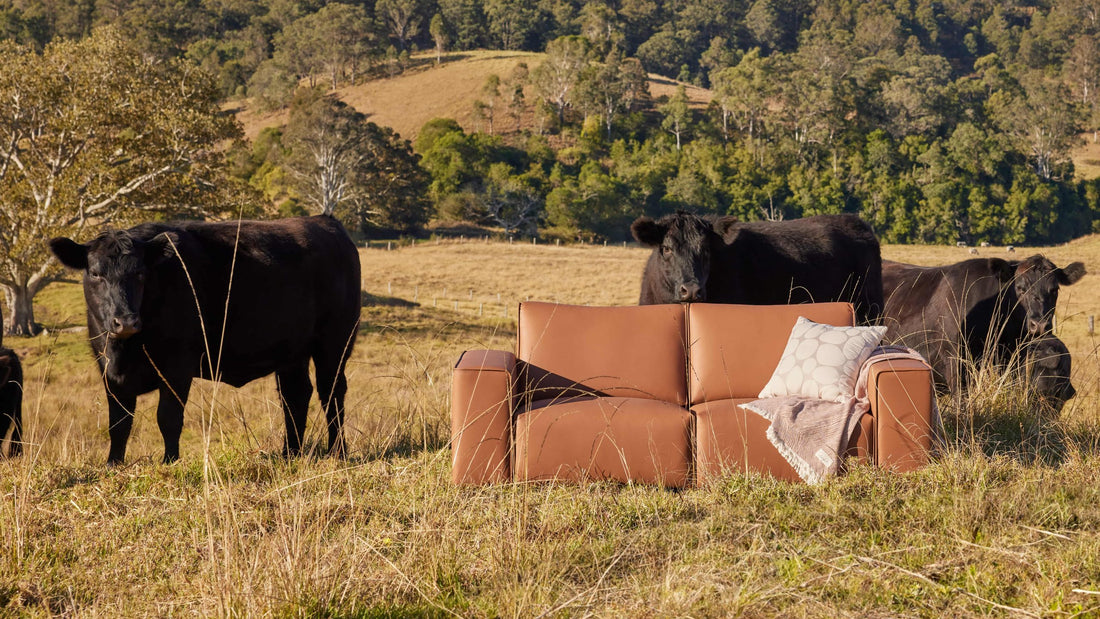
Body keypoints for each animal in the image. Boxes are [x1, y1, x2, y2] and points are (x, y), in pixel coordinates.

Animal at [49, 217, 358, 466]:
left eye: (140, 273)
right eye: (95, 273)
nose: (126, 322)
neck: (125, 350)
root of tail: (325, 220)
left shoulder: (177, 365)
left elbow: (168, 418)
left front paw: (170, 461)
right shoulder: (108, 370)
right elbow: (119, 422)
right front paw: (113, 463)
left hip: (334, 344)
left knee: (331, 393)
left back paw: (337, 453)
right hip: (291, 353)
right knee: (295, 395)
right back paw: (290, 453)